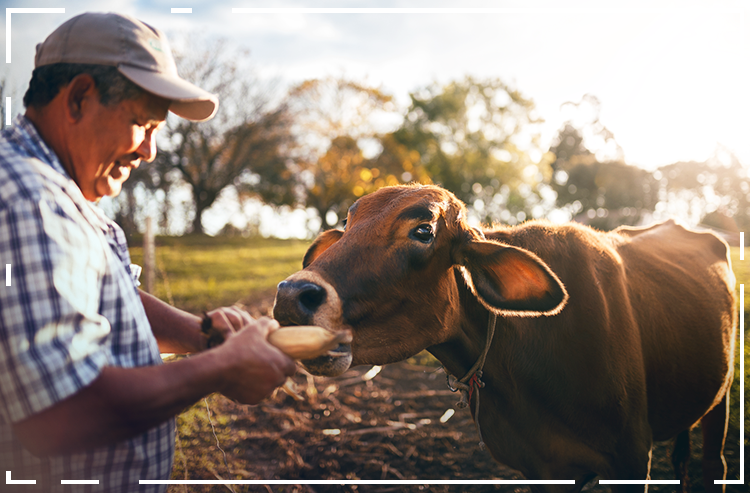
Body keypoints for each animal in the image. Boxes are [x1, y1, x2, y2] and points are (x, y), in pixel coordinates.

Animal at [274, 184, 736, 492]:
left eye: (423, 231)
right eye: (348, 223)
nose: (291, 297)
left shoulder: (632, 458)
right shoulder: (540, 469)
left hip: (724, 394)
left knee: (715, 463)